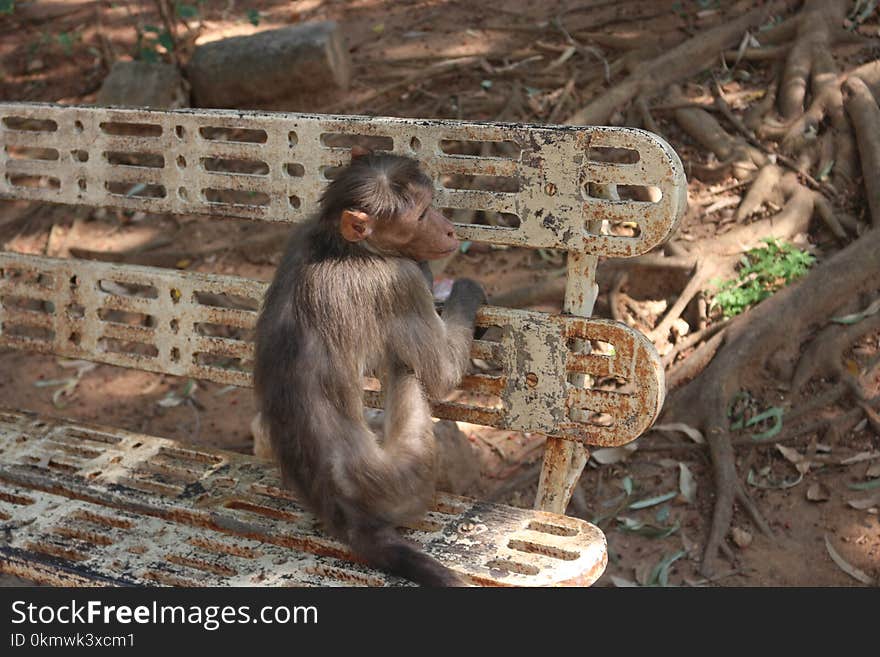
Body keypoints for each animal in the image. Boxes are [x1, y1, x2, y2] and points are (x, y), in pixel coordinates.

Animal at [254, 149, 484, 584]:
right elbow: (441, 375)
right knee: (406, 369)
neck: (343, 246)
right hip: (406, 478)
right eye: (422, 214)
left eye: (431, 206)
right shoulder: (396, 281)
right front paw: (463, 289)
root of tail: (344, 516)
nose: (449, 231)